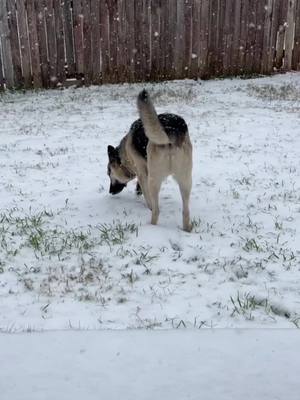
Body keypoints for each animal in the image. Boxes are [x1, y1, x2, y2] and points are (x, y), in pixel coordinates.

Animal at [106, 87, 193, 231]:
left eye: (109, 174)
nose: (110, 191)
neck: (125, 155)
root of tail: (170, 132)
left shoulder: (142, 172)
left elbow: (146, 193)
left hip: (154, 180)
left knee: (156, 210)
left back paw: (152, 225)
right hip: (185, 180)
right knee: (186, 211)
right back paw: (187, 229)